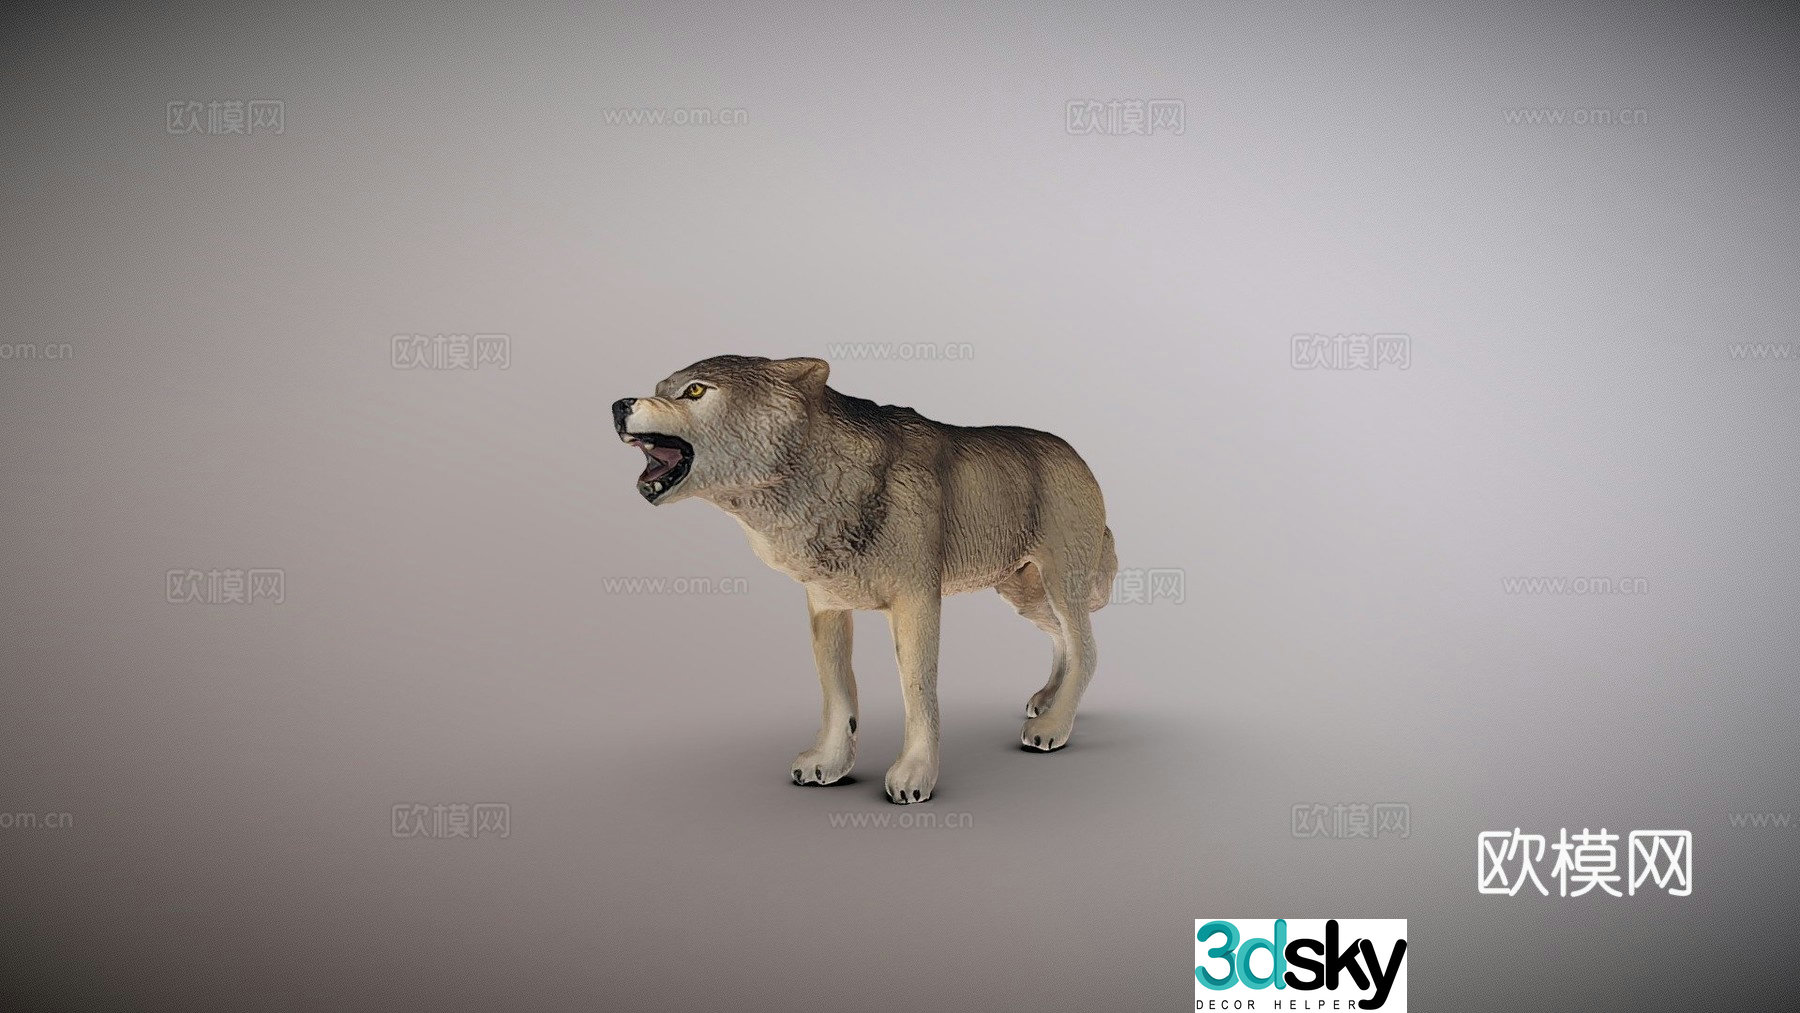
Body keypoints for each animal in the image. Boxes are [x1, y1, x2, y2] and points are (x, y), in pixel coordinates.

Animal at [612, 355, 1115, 803]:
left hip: (1061, 584)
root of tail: (1076, 455)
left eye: (695, 391)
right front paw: (830, 763)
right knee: (1062, 639)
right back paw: (1048, 700)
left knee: (1086, 649)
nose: (618, 404)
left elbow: (917, 691)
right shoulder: (826, 607)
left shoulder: (916, 602)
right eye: (660, 388)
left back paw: (1053, 726)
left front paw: (915, 774)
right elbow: (838, 695)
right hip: (1022, 592)